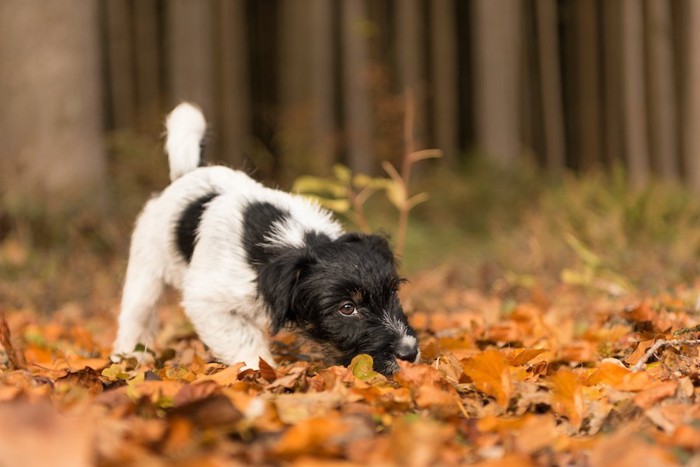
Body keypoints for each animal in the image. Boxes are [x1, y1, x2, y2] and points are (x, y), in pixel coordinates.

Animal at [113, 103, 422, 376]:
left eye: (392, 294)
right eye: (347, 308)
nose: (409, 353)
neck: (297, 240)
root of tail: (189, 173)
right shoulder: (208, 301)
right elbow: (244, 341)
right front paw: (258, 372)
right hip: (146, 272)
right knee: (135, 317)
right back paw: (126, 358)